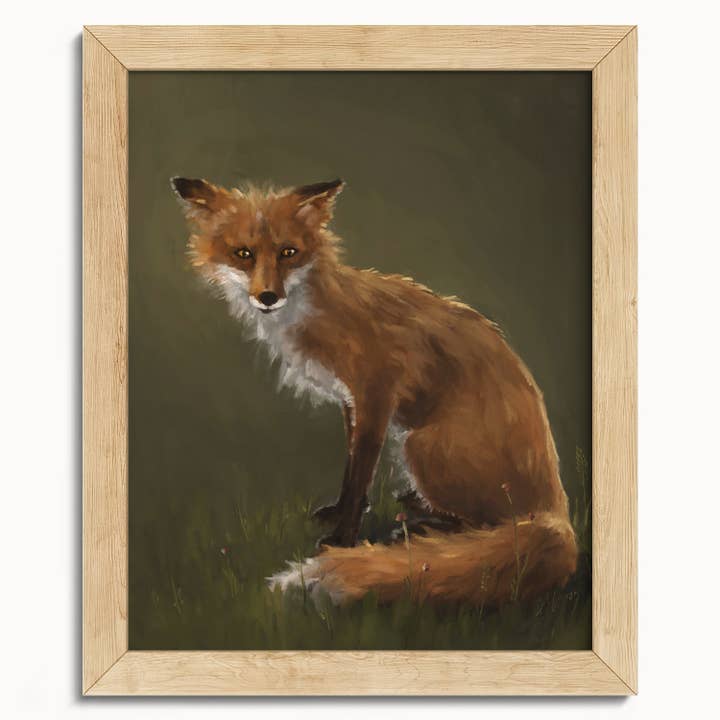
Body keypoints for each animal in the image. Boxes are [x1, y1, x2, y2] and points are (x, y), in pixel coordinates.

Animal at [171, 175, 578, 607]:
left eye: (288, 253)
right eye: (243, 254)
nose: (268, 297)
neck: (318, 310)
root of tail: (556, 509)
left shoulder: (376, 394)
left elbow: (360, 475)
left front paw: (341, 539)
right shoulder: (351, 400)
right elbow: (351, 471)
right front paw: (338, 513)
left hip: (419, 446)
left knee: (492, 526)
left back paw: (423, 528)